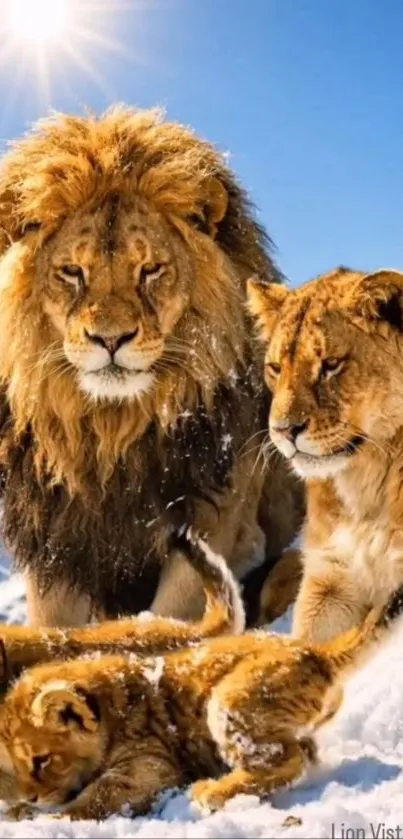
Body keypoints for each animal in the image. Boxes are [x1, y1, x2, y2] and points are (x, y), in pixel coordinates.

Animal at [0, 105, 304, 627]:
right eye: (72, 272)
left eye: (151, 270)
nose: (110, 339)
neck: (111, 430)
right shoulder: (57, 543)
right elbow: (52, 623)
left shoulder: (217, 516)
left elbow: (179, 614)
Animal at [1, 578, 403, 821]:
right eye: (15, 766)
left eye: (42, 760)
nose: (31, 797)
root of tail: (315, 652)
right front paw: (21, 808)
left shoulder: (150, 766)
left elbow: (99, 795)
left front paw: (48, 817)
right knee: (302, 754)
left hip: (228, 702)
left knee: (286, 760)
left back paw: (212, 792)